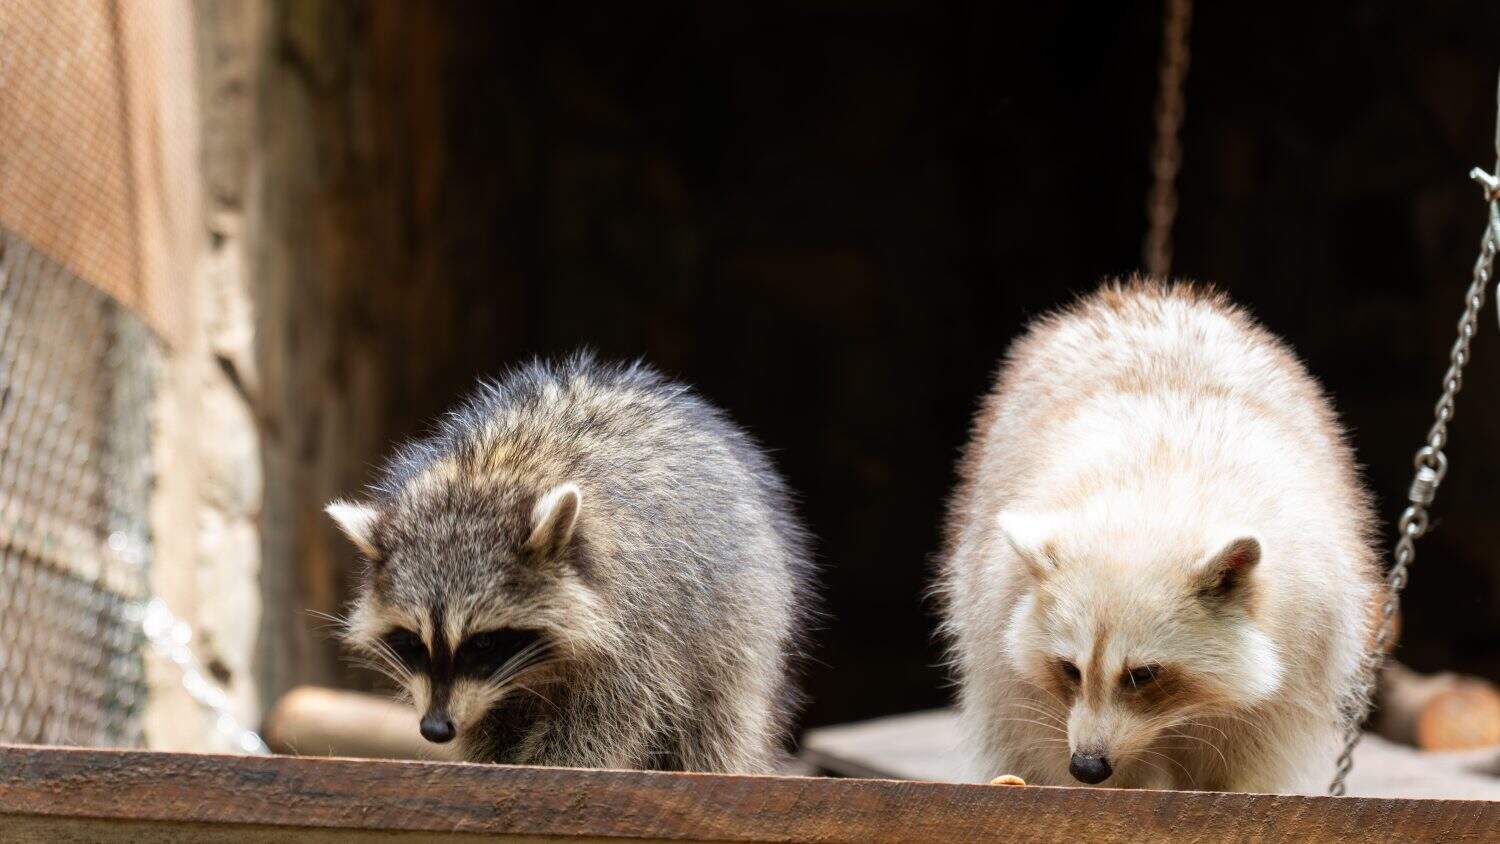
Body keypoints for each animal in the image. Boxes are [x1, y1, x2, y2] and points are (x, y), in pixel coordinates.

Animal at [328, 355, 813, 773]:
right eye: (412, 642)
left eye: (483, 643)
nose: (436, 729)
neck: (487, 474)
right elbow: (491, 722)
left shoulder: (641, 618)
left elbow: (607, 715)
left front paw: (554, 762)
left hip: (739, 623)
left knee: (715, 720)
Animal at [936, 280, 1378, 793]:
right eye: (1069, 669)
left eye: (1142, 675)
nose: (1086, 767)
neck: (1152, 501)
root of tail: (1146, 292)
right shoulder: (1016, 650)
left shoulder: (1301, 644)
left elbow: (1249, 756)